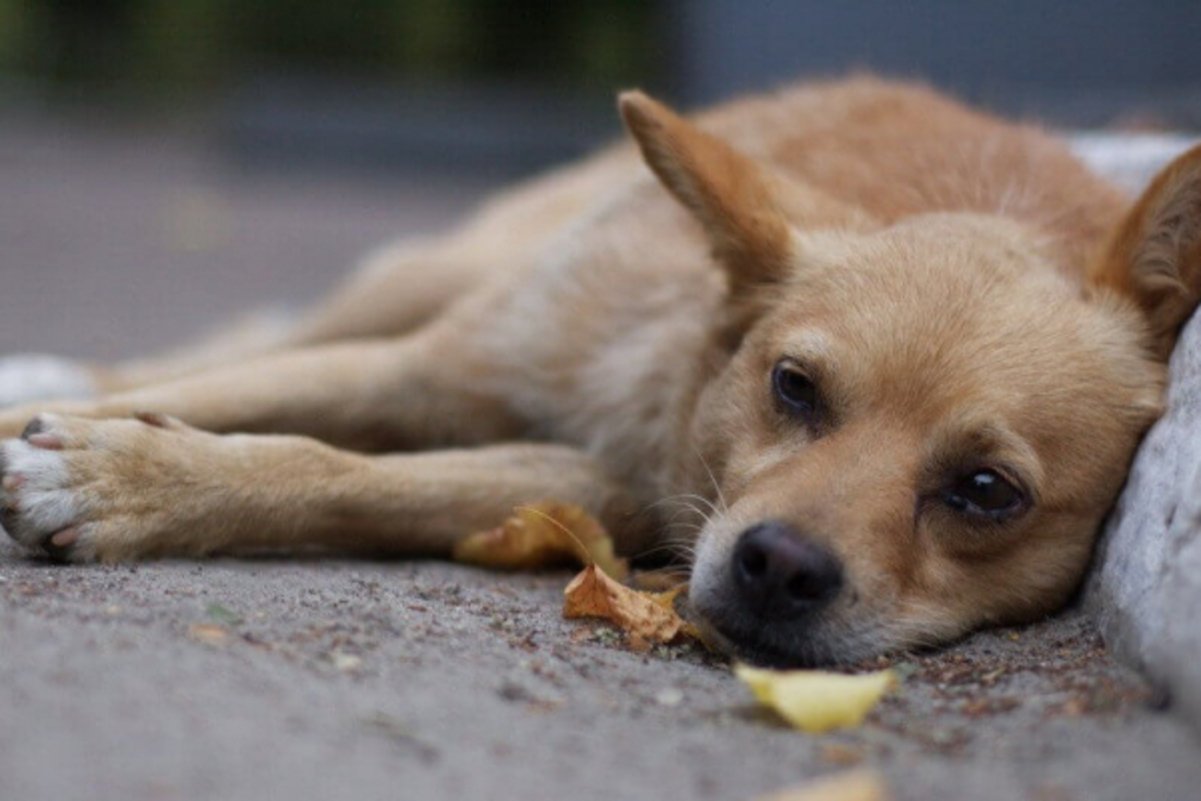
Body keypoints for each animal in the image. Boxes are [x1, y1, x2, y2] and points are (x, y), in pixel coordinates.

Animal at [2, 75, 1201, 662]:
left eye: (986, 492)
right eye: (794, 388)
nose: (777, 568)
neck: (663, 379)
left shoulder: (574, 485)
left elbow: (326, 471)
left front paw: (126, 478)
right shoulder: (421, 368)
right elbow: (226, 395)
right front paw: (91, 443)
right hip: (437, 280)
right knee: (224, 345)